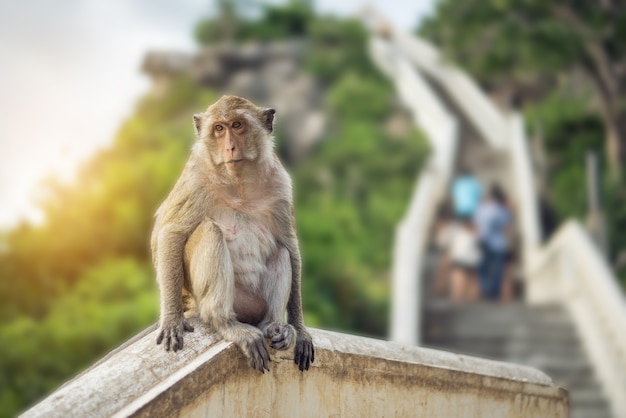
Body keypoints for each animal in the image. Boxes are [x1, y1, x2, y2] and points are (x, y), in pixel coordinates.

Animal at [151, 94, 314, 372]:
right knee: (210, 231)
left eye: (237, 125)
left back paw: (274, 326)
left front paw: (301, 330)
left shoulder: (281, 182)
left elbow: (290, 246)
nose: (229, 147)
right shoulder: (195, 177)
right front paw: (172, 319)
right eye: (219, 128)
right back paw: (225, 323)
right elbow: (171, 233)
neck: (239, 183)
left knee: (281, 252)